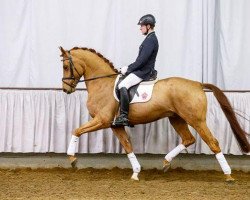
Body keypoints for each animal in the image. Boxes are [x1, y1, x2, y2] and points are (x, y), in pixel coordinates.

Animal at [59, 46, 249, 181]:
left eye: (66, 66)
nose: (66, 89)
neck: (102, 84)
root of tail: (197, 84)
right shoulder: (114, 125)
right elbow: (127, 146)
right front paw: (136, 173)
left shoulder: (102, 120)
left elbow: (76, 130)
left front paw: (72, 158)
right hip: (176, 118)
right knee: (188, 139)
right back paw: (166, 162)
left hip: (196, 120)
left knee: (212, 142)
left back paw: (228, 174)